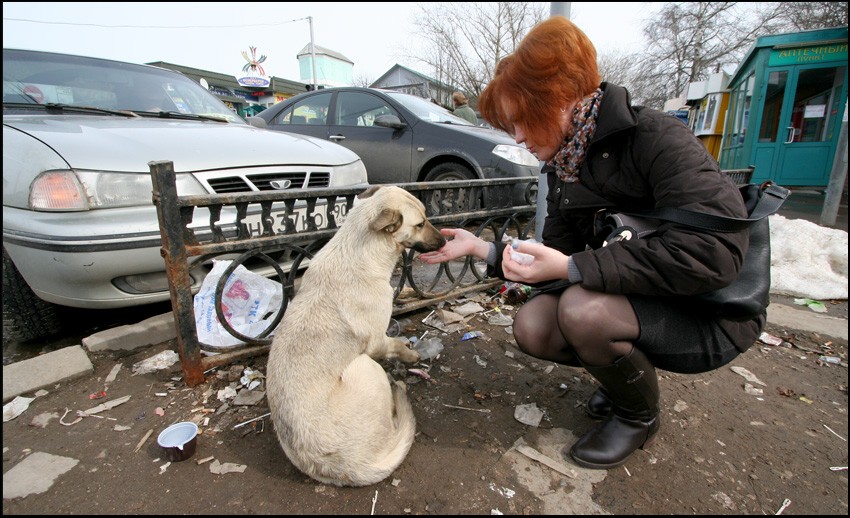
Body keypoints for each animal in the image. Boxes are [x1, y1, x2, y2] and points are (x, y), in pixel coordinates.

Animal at [266, 186, 448, 488]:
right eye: (420, 224)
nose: (445, 240)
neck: (359, 251)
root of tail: (350, 467)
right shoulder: (377, 342)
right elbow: (397, 345)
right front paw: (412, 354)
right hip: (365, 365)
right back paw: (399, 388)